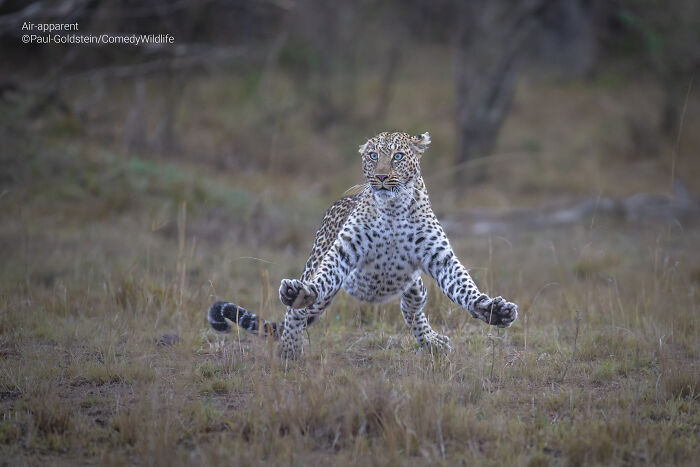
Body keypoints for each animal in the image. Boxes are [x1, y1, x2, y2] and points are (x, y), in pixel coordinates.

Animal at [208, 131, 518, 359]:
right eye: (373, 155)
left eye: (397, 156)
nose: (380, 176)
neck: (393, 209)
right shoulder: (343, 251)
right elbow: (322, 279)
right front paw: (301, 295)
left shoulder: (440, 257)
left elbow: (464, 286)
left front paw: (493, 310)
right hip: (319, 274)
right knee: (296, 313)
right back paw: (289, 349)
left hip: (415, 286)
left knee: (411, 310)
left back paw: (432, 342)